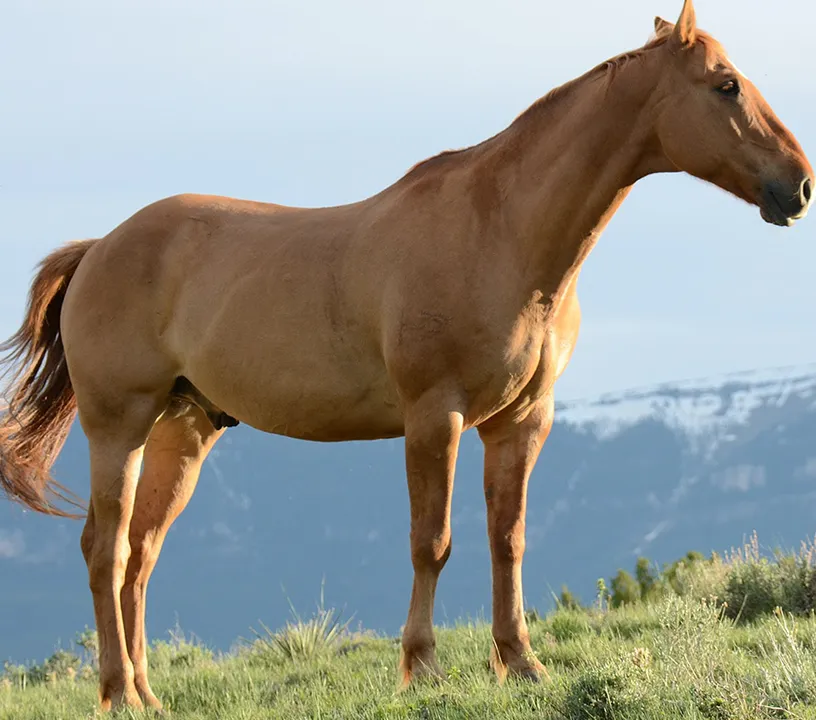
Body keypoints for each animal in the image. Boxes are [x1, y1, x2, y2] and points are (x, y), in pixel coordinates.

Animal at [0, 0, 811, 711]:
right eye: (726, 84)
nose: (798, 184)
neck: (499, 232)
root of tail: (100, 246)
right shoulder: (434, 417)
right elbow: (434, 542)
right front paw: (422, 669)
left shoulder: (522, 422)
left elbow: (508, 539)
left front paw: (521, 664)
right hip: (120, 425)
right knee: (104, 550)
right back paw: (115, 693)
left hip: (184, 431)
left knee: (139, 556)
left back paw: (147, 694)